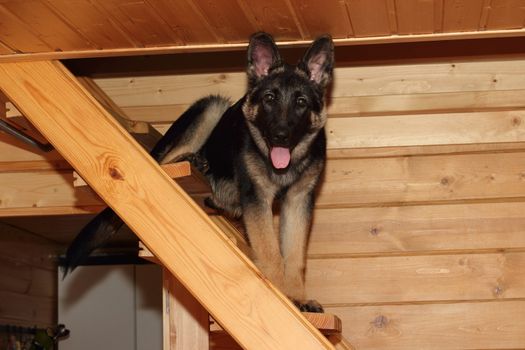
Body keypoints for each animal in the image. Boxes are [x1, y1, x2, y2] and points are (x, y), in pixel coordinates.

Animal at [64, 32, 332, 312]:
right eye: (269, 98)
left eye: (301, 102)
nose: (281, 136)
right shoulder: (257, 198)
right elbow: (271, 253)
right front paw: (282, 299)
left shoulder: (298, 201)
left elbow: (294, 256)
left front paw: (298, 296)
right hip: (211, 107)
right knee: (167, 160)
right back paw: (193, 160)